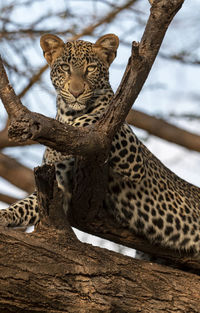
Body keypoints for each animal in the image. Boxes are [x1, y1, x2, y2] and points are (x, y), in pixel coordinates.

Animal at [1, 33, 200, 258]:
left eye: (91, 68)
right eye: (65, 67)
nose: (76, 92)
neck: (69, 112)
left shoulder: (131, 156)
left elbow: (90, 121)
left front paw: (52, 138)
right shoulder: (59, 184)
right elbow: (25, 204)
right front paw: (4, 215)